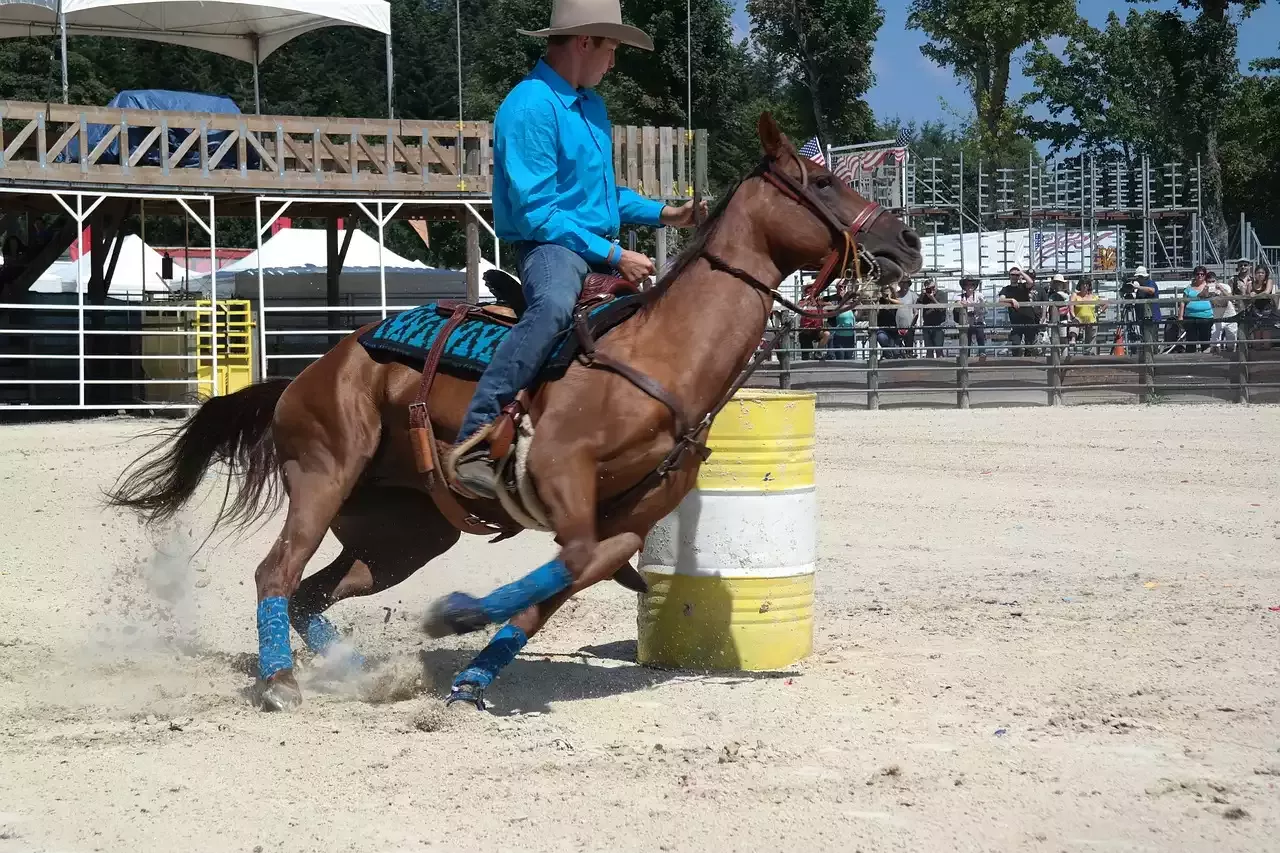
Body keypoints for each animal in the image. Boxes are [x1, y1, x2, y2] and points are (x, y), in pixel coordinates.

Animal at [107, 114, 921, 712]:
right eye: (823, 181)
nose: (908, 241)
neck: (661, 355)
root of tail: (307, 374)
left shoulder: (634, 509)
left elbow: (578, 571)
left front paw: (472, 672)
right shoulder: (559, 471)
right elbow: (574, 559)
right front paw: (459, 615)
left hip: (405, 532)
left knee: (315, 590)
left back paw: (358, 670)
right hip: (324, 474)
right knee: (276, 572)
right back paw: (280, 681)